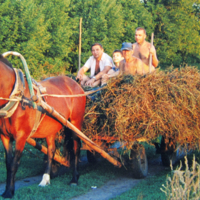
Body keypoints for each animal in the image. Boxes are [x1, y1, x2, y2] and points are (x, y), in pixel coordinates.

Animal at [0, 55, 85, 198]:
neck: (16, 97)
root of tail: (75, 83)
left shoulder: (21, 137)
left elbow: (14, 164)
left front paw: (9, 192)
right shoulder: (5, 137)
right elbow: (8, 163)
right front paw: (7, 190)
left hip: (74, 123)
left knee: (76, 147)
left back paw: (74, 179)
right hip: (51, 128)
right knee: (51, 150)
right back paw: (45, 179)